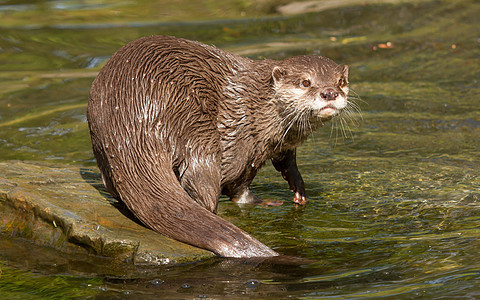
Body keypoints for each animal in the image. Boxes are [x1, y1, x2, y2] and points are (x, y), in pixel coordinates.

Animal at [87, 34, 348, 255]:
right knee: (204, 183)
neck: (258, 106)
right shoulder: (241, 138)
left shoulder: (275, 146)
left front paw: (296, 186)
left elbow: (283, 163)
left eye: (340, 81)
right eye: (306, 82)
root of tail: (133, 123)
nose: (329, 92)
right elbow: (235, 183)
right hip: (196, 126)